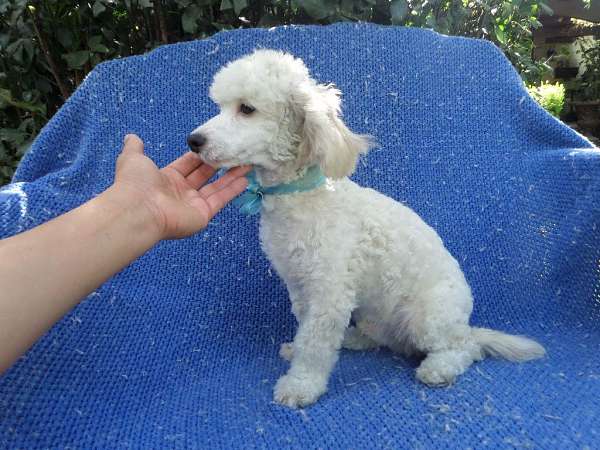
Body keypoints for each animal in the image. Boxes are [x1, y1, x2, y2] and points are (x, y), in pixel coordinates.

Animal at [185, 49, 548, 408]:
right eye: (220, 106)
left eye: (246, 109)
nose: (193, 140)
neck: (299, 196)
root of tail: (464, 326)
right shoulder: (300, 285)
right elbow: (308, 331)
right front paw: (297, 352)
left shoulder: (329, 290)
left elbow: (315, 342)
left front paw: (302, 385)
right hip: (375, 315)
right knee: (380, 339)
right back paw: (352, 338)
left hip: (427, 318)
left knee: (464, 349)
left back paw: (438, 368)